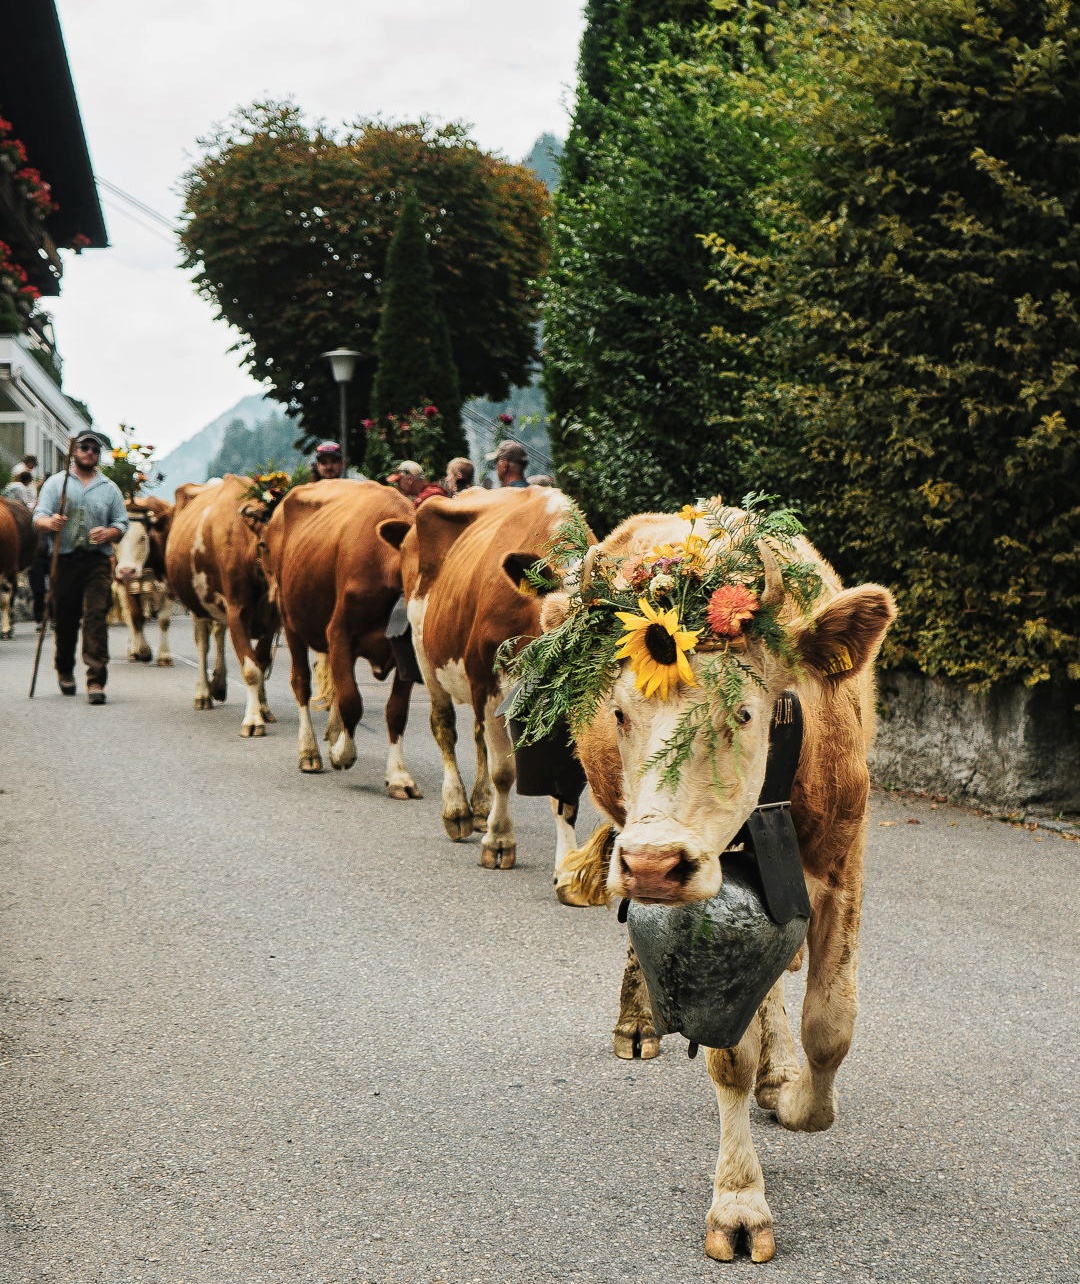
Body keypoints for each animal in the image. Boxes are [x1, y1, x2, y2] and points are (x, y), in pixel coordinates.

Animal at [113, 495, 173, 667]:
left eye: (142, 538)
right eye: (116, 539)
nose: (126, 570)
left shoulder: (169, 587)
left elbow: (164, 620)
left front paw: (164, 656)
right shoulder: (128, 586)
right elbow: (135, 617)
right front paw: (144, 651)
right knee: (129, 616)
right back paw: (133, 650)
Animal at [165, 475, 278, 739]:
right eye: (265, 544)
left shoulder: (271, 618)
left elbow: (262, 662)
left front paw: (263, 708)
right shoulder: (237, 611)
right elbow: (251, 669)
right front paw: (253, 720)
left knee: (218, 634)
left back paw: (218, 684)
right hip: (197, 606)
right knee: (203, 644)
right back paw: (204, 694)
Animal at [392, 482, 585, 873]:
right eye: (553, 622)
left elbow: (564, 786)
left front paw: (568, 866)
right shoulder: (488, 681)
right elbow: (504, 771)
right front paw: (499, 841)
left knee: (478, 735)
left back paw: (480, 808)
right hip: (425, 650)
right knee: (444, 726)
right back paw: (457, 810)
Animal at [505, 493, 893, 1263]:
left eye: (743, 711)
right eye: (619, 711)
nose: (655, 861)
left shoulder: (845, 859)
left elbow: (831, 1024)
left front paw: (798, 1097)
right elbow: (728, 1056)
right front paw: (740, 1203)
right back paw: (636, 1022)